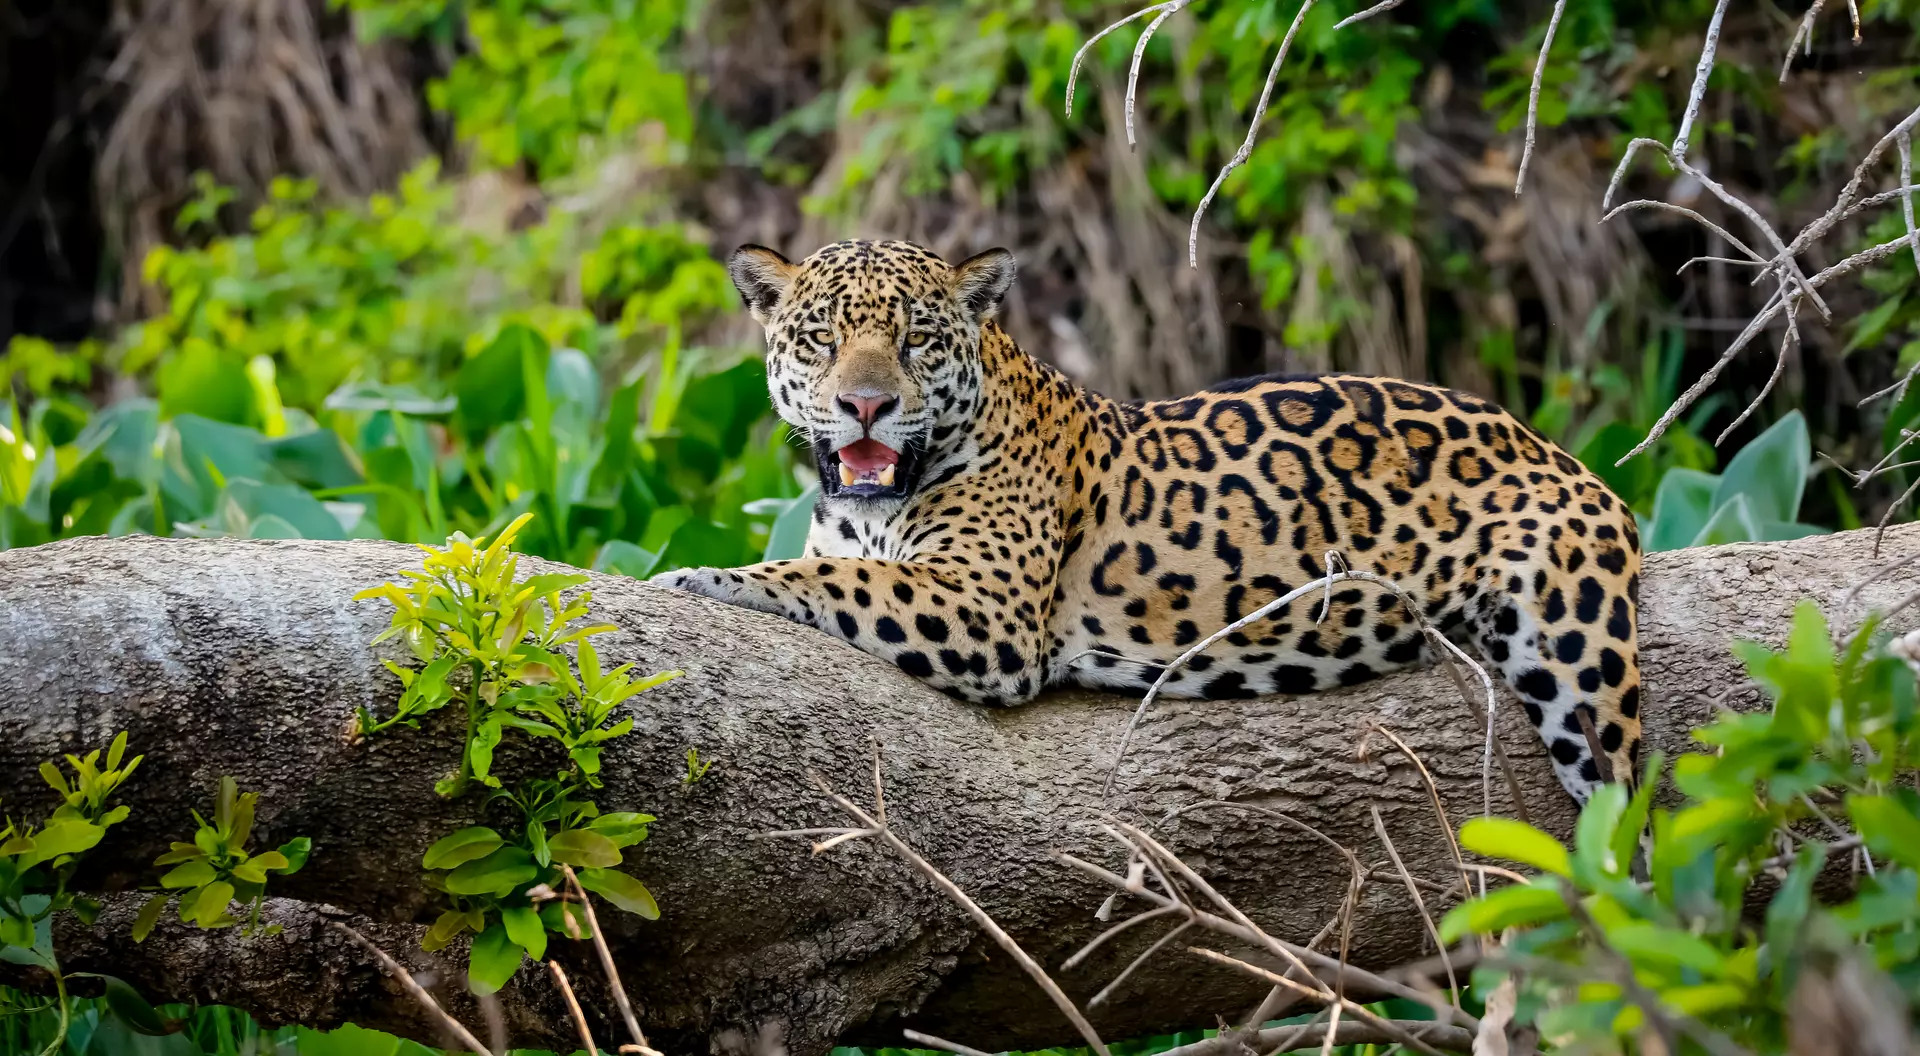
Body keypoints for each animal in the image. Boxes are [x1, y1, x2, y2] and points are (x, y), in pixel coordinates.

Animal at [652, 238, 1643, 805]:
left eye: (917, 340)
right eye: (821, 337)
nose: (865, 406)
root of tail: (1554, 445)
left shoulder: (988, 609)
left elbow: (829, 576)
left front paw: (697, 577)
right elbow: (832, 564)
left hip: (1579, 657)